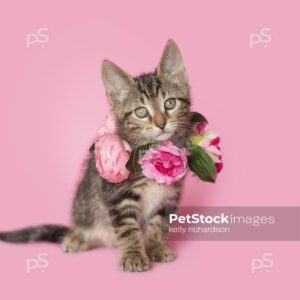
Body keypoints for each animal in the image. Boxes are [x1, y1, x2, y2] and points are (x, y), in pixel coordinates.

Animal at [0, 39, 195, 272]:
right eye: (141, 112)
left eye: (170, 103)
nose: (161, 123)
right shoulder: (117, 194)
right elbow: (128, 229)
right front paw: (133, 255)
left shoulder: (168, 197)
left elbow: (159, 223)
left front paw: (155, 245)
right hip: (84, 206)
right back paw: (76, 238)